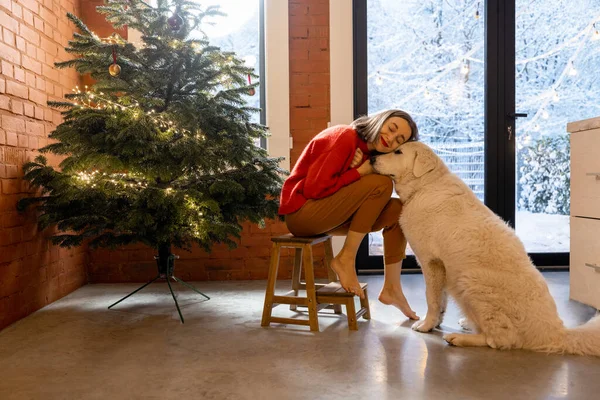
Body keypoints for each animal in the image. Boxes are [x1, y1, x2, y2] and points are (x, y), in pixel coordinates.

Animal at [370, 142, 600, 354]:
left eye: (398, 152)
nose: (371, 158)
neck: (425, 185)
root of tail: (555, 332)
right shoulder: (442, 267)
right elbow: (441, 300)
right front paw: (436, 323)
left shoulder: (431, 262)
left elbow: (432, 299)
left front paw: (426, 325)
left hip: (469, 281)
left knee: (499, 340)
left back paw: (459, 338)